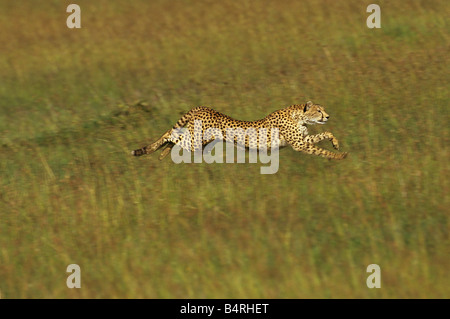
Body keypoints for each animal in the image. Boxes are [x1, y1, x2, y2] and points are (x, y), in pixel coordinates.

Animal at [130, 102, 348, 161]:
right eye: (318, 110)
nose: (327, 116)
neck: (298, 116)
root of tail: (204, 108)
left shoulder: (303, 140)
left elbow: (324, 135)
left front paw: (336, 144)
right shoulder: (299, 145)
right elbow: (321, 150)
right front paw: (339, 156)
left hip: (198, 141)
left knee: (173, 137)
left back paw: (162, 154)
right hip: (195, 141)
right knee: (169, 135)